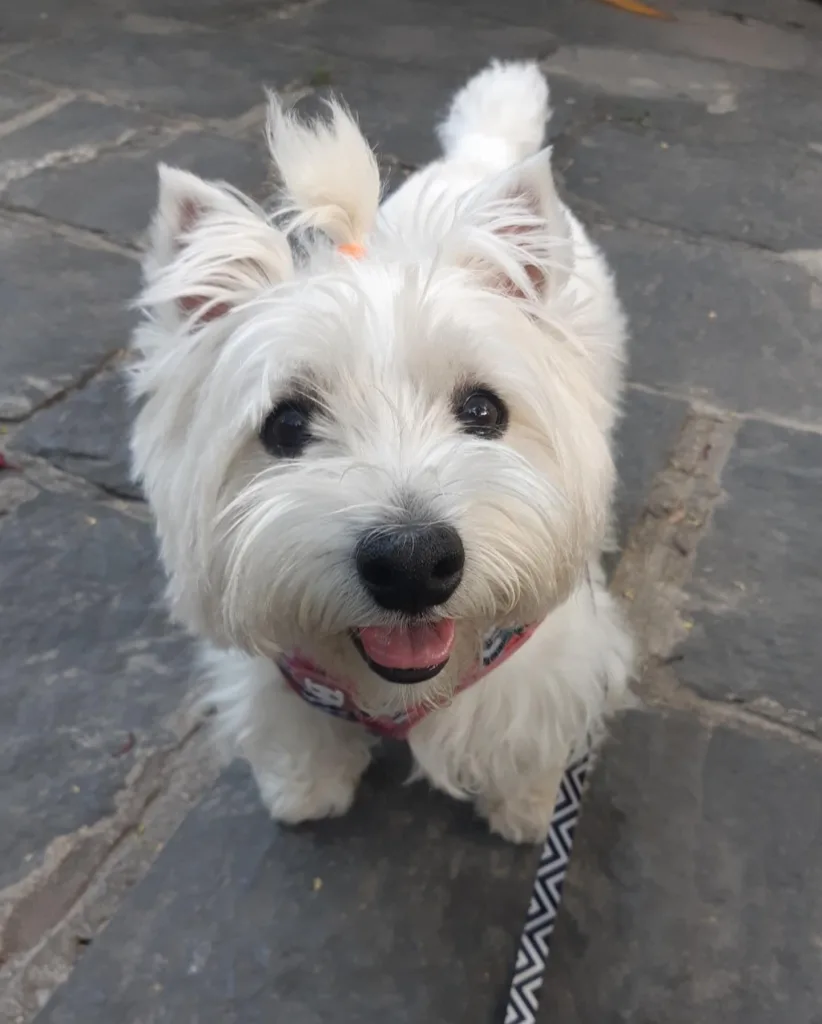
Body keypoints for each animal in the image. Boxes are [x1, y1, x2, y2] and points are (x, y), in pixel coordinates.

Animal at [130, 61, 630, 839]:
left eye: (482, 410)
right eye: (286, 426)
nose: (413, 563)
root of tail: (483, 150)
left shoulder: (549, 661)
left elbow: (530, 739)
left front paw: (526, 810)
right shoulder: (280, 675)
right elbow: (300, 734)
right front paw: (307, 792)